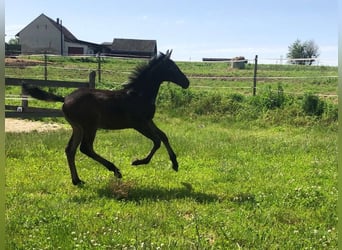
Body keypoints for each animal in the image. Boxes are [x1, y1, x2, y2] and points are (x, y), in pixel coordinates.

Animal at [23, 49, 190, 185]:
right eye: (172, 67)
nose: (186, 82)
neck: (139, 95)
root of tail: (64, 99)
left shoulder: (148, 120)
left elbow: (163, 136)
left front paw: (175, 163)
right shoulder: (138, 123)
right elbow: (156, 141)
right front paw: (138, 162)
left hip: (78, 127)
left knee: (70, 149)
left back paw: (77, 180)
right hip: (90, 126)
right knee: (85, 148)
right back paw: (115, 170)